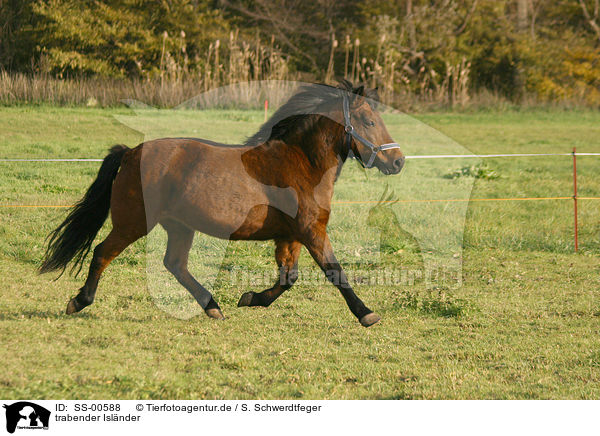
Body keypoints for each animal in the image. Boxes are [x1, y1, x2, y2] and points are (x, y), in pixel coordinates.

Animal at [41, 81, 404, 328]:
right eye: (369, 121)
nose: (398, 161)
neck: (301, 162)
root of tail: (131, 152)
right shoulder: (311, 231)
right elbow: (335, 272)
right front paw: (367, 313)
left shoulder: (290, 236)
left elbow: (288, 278)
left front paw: (250, 298)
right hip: (134, 222)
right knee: (103, 252)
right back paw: (79, 301)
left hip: (180, 226)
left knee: (175, 264)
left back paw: (213, 306)